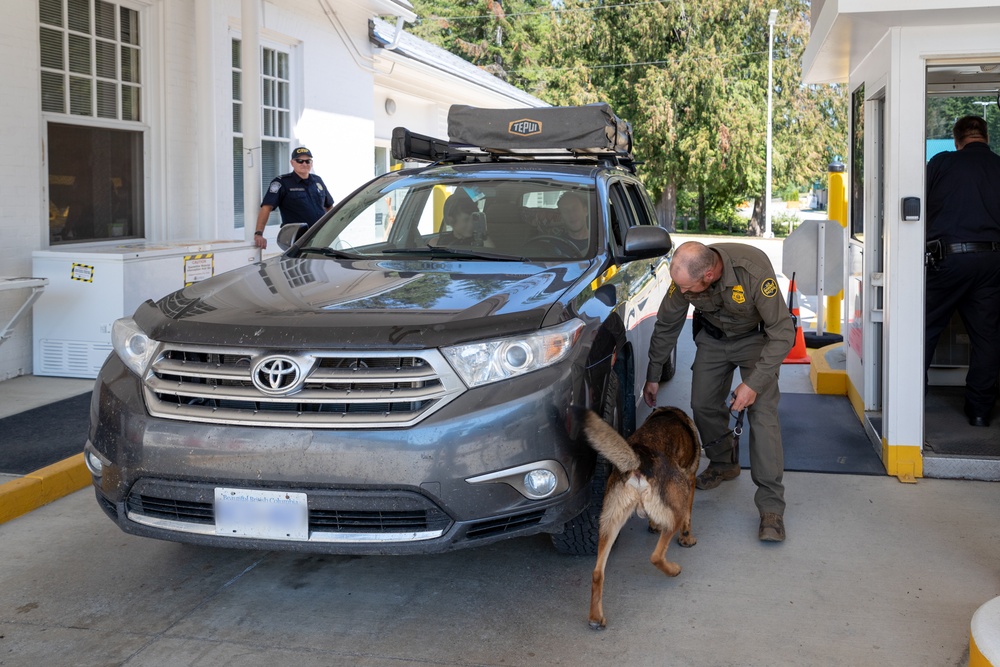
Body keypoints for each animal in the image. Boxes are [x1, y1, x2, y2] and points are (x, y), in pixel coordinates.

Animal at [584, 404, 700, 628]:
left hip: (609, 523)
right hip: (677, 507)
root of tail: (637, 461)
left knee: (597, 573)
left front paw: (653, 524)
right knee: (656, 556)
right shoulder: (691, 480)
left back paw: (595, 617)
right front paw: (687, 539)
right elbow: (689, 519)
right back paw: (673, 569)